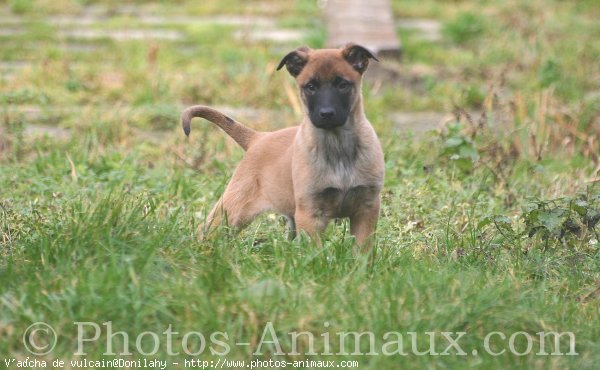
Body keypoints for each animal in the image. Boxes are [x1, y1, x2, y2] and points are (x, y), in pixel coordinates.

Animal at [182, 43, 384, 251]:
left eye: (343, 85)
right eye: (310, 87)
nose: (326, 114)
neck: (337, 147)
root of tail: (258, 137)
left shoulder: (367, 209)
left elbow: (362, 250)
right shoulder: (310, 213)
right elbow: (316, 252)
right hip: (232, 210)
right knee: (206, 230)